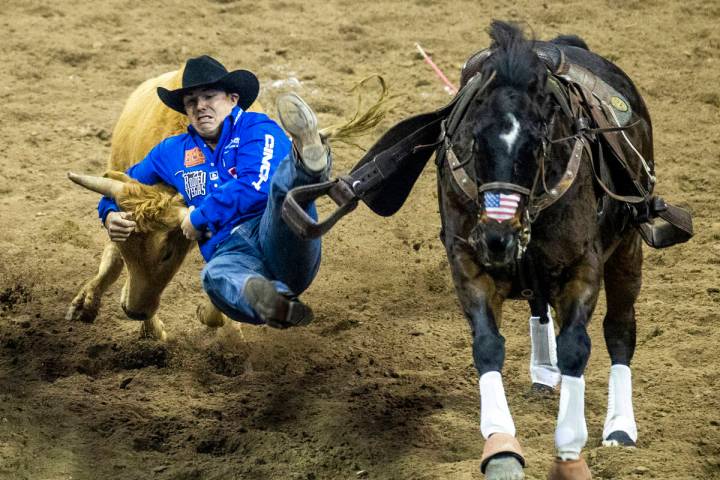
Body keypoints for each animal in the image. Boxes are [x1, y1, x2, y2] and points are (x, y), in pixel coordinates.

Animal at [436, 21, 656, 476]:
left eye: (536, 143)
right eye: (475, 140)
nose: (497, 237)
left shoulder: (583, 267)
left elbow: (577, 347)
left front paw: (570, 450)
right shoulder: (468, 262)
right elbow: (487, 345)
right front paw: (500, 444)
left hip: (628, 249)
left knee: (620, 330)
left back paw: (620, 427)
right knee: (540, 306)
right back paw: (542, 371)